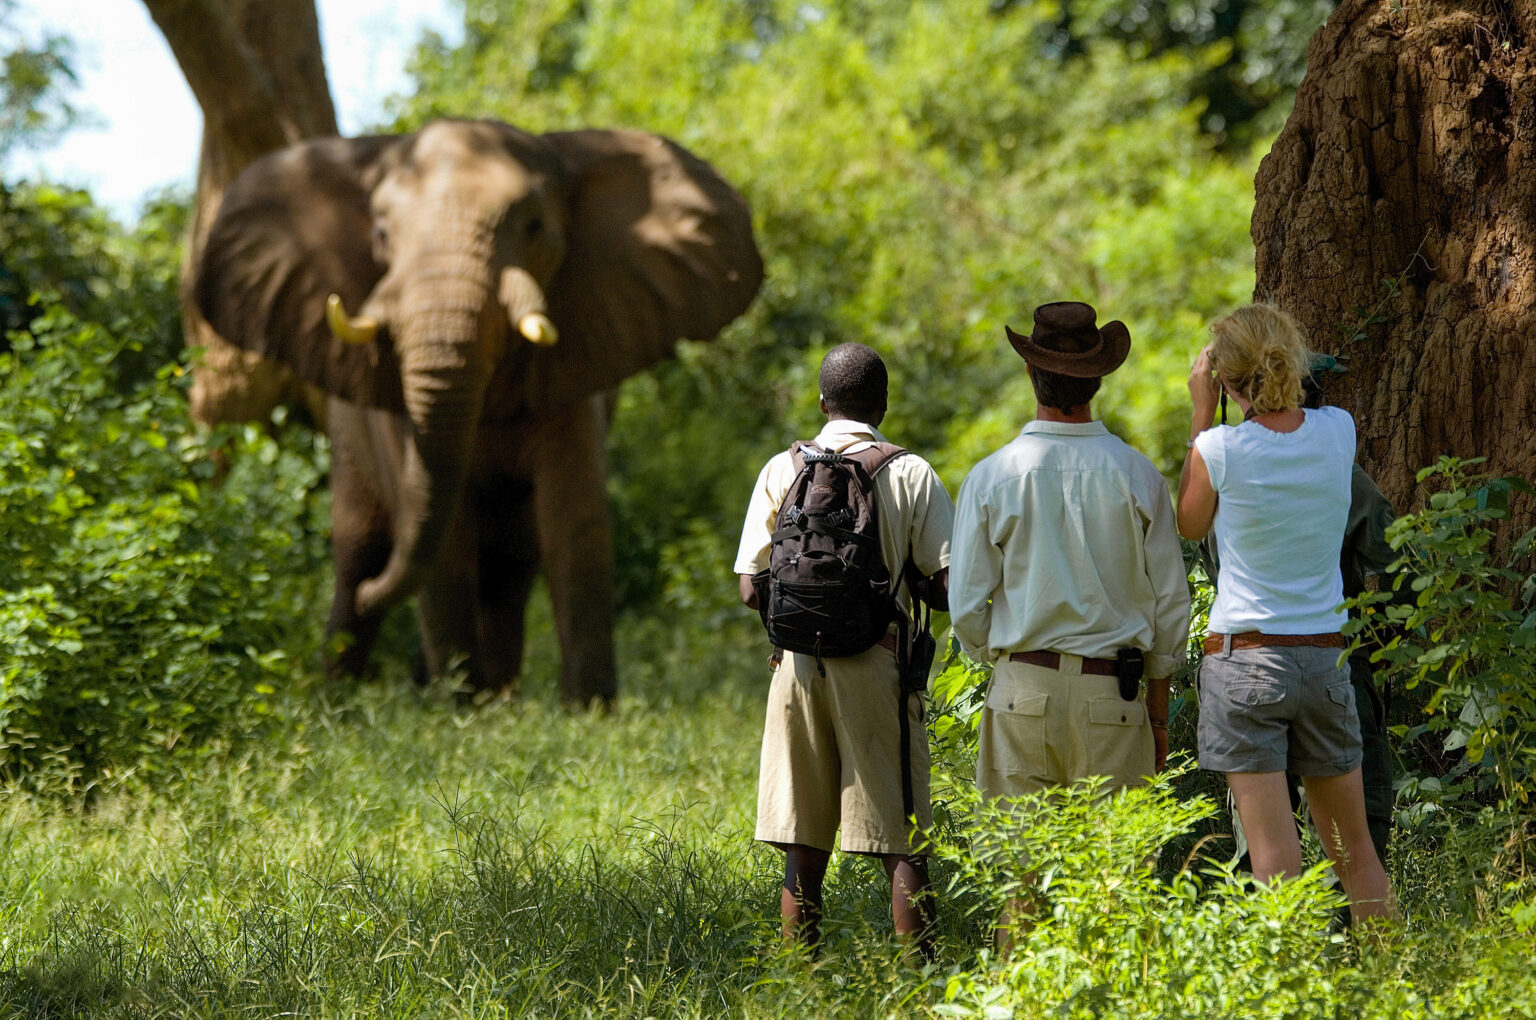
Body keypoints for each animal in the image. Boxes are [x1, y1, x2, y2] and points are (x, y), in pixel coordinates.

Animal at [190, 118, 763, 705]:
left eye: (533, 226)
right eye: (382, 236)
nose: (379, 594)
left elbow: (575, 521)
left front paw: (586, 709)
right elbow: (442, 536)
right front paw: (457, 707)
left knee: (508, 569)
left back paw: (496, 694)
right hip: (348, 438)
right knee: (357, 553)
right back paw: (349, 695)